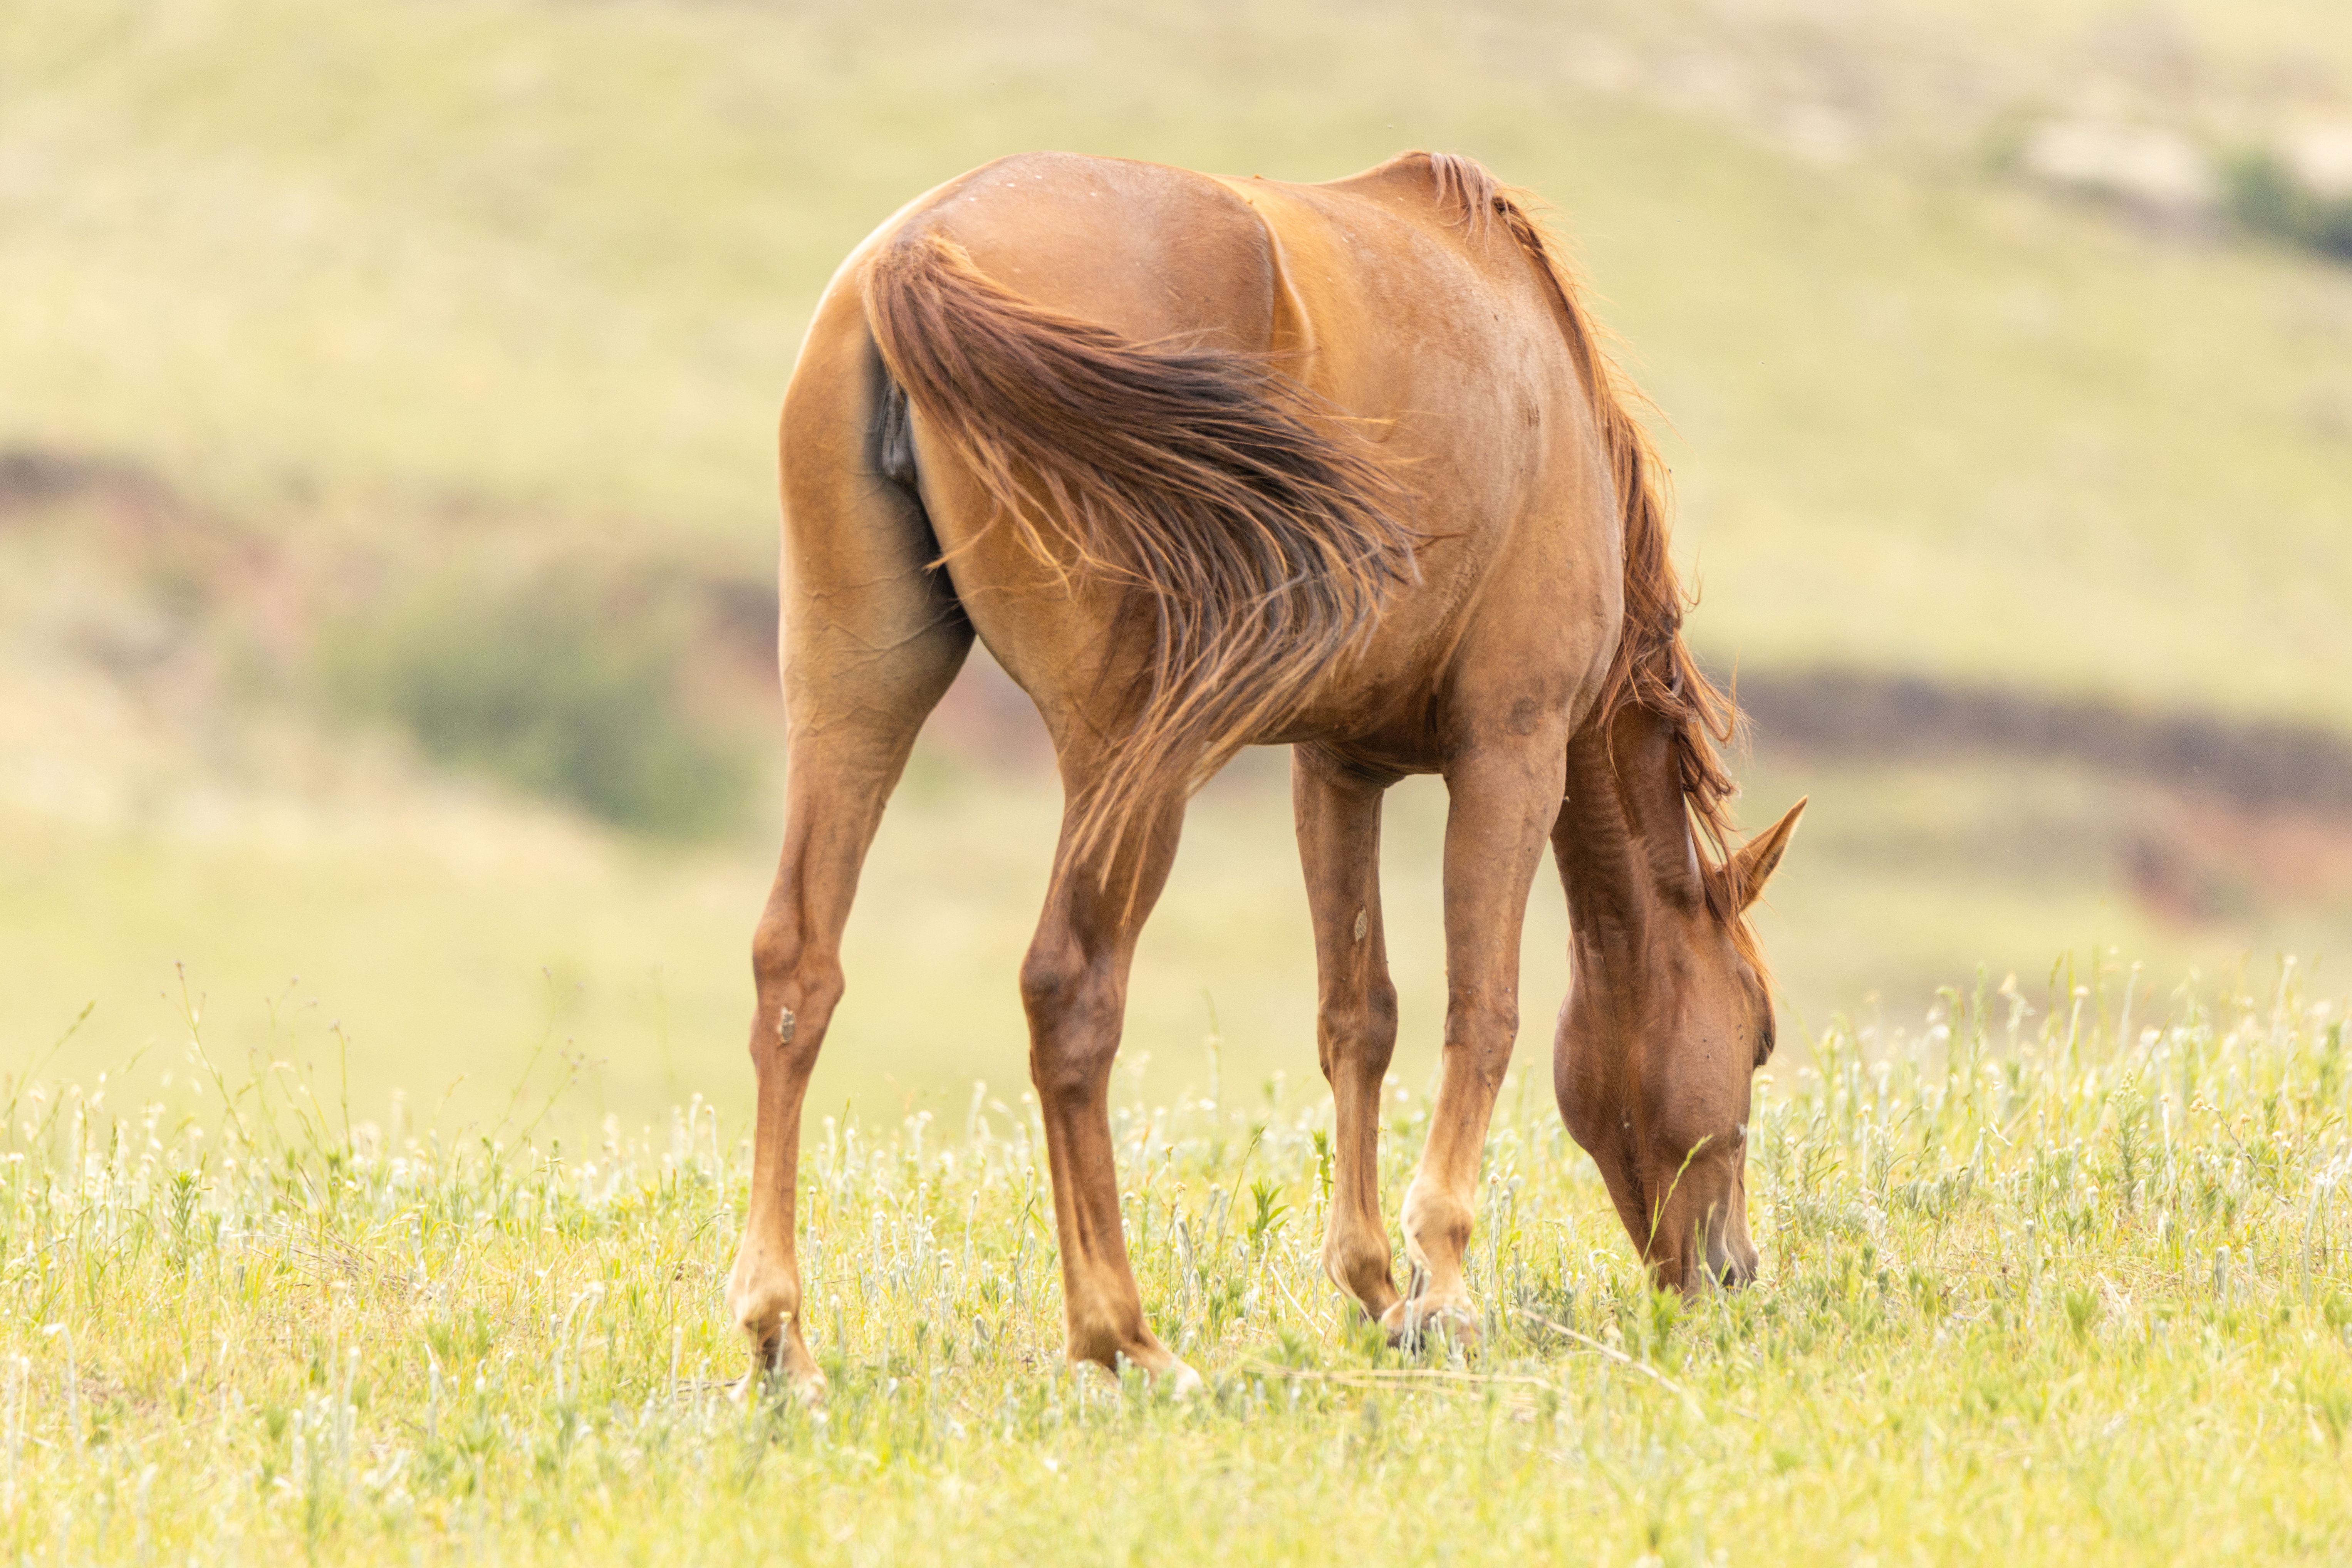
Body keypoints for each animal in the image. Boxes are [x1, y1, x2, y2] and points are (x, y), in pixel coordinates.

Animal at [725, 149, 1805, 1395]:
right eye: (1759, 1036)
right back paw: (1121, 1335)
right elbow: (1482, 1011)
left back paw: (781, 1336)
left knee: (798, 967)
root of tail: (918, 253)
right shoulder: (1513, 747)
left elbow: (1359, 1015)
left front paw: (1375, 1287)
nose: (1730, 1271)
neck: (1543, 383)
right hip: (1130, 760)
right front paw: (1443, 1292)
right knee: (1069, 987)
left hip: (852, 699)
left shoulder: (1335, 767)